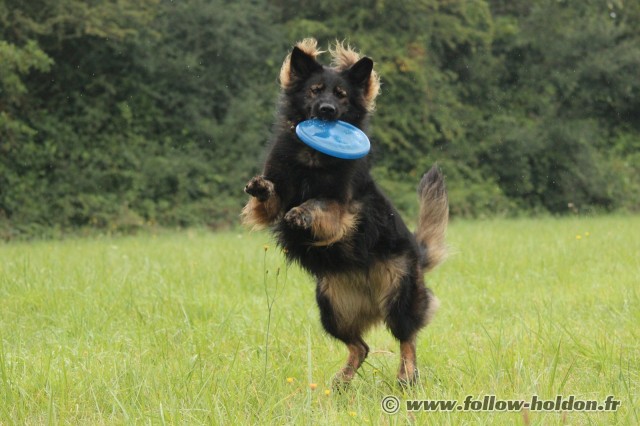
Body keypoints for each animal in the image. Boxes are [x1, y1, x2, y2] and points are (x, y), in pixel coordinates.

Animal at [242, 39, 448, 386]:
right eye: (315, 91)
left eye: (341, 95)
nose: (327, 111)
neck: (312, 157)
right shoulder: (273, 200)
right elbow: (269, 200)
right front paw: (261, 187)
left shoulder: (342, 209)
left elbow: (321, 204)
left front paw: (302, 214)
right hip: (332, 310)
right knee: (361, 346)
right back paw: (341, 380)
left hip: (399, 295)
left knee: (406, 336)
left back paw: (406, 375)